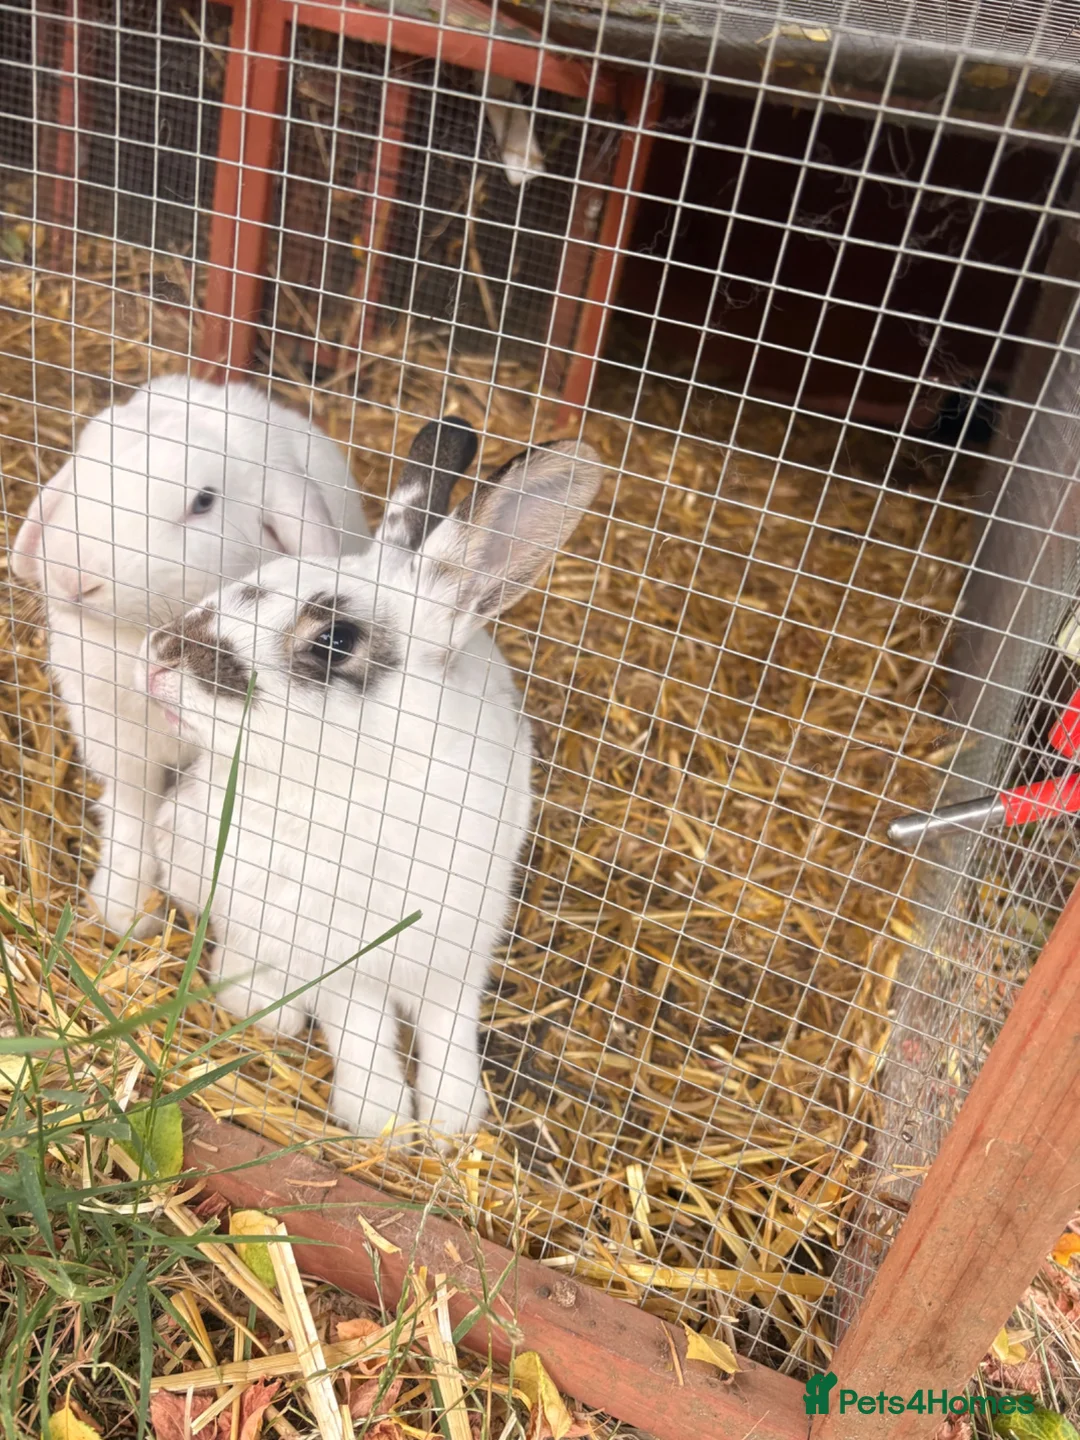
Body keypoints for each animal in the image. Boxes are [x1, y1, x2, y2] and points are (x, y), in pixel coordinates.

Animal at [8, 373, 372, 938]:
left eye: (203, 501)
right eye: (87, 464)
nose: (73, 575)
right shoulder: (117, 740)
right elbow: (133, 811)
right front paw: (126, 911)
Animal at [136, 425, 603, 1144]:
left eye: (334, 640)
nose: (159, 661)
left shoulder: (458, 950)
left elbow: (449, 1034)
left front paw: (454, 1121)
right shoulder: (341, 962)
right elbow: (363, 1035)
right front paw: (381, 1123)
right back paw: (261, 1004)